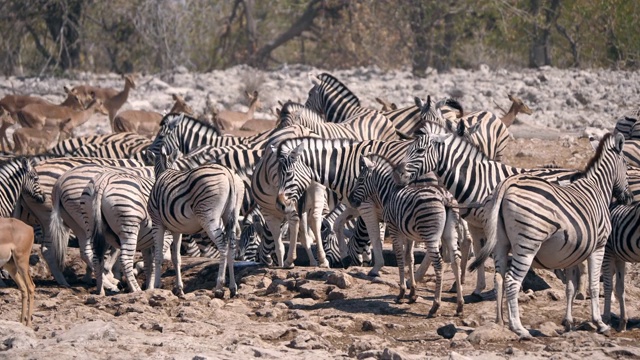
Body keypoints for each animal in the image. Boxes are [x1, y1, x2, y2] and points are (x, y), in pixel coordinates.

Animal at [146, 144, 244, 298]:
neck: (165, 170)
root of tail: (228, 173)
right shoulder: (176, 229)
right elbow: (176, 258)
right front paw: (179, 289)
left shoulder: (157, 223)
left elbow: (158, 256)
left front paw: (156, 286)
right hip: (232, 214)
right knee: (232, 246)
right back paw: (233, 288)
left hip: (208, 216)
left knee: (222, 245)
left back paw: (219, 287)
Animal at [348, 153, 462, 316]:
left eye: (360, 180)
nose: (350, 199)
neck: (389, 193)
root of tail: (444, 197)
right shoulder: (409, 235)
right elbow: (410, 258)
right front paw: (412, 293)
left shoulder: (394, 229)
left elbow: (400, 257)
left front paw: (401, 293)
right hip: (450, 233)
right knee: (456, 260)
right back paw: (459, 305)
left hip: (430, 234)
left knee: (439, 264)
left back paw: (435, 305)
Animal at [392, 131, 584, 296]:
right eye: (407, 149)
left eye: (420, 150)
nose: (398, 174)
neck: (476, 179)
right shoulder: (474, 223)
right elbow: (479, 252)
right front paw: (478, 287)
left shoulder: (489, 223)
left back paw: (581, 291)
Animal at [470, 134, 632, 338]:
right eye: (626, 164)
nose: (628, 198)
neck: (598, 188)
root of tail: (506, 184)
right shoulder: (599, 246)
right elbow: (595, 286)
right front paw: (600, 323)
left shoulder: (572, 251)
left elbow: (570, 288)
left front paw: (568, 322)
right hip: (527, 244)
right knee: (512, 281)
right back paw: (519, 328)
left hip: (500, 243)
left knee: (499, 279)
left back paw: (501, 323)